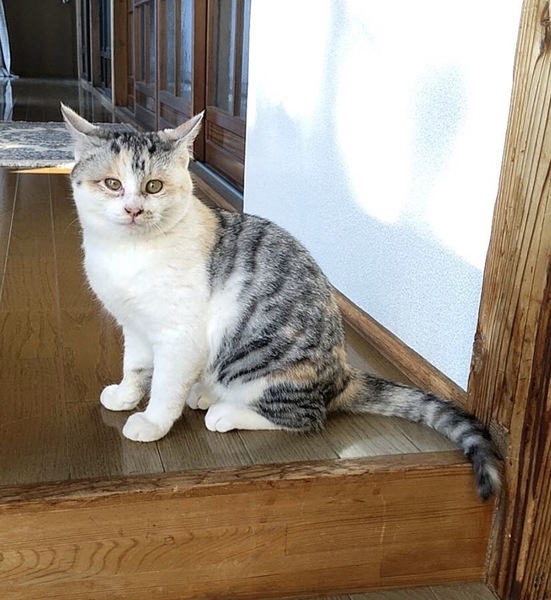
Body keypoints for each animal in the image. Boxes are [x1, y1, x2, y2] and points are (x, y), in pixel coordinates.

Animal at [61, 103, 501, 500]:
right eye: (112, 184)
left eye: (153, 186)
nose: (133, 209)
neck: (128, 253)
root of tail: (343, 374)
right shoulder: (134, 325)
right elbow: (135, 366)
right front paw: (125, 395)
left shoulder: (179, 336)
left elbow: (166, 385)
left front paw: (152, 421)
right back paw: (206, 393)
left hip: (262, 358)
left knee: (305, 416)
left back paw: (226, 411)